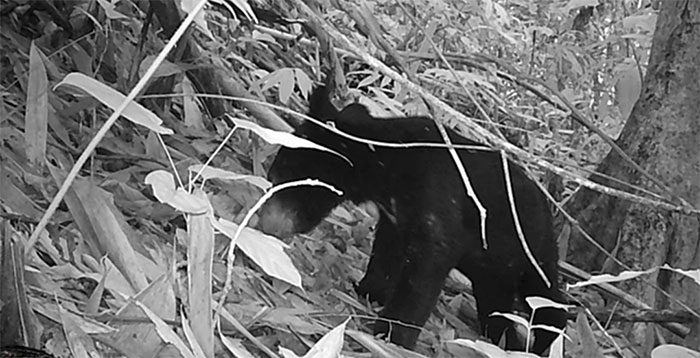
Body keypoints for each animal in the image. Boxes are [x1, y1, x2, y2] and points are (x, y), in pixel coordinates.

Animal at [258, 86, 568, 352]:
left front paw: (391, 333)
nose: (266, 224)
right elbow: (387, 251)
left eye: (285, 174)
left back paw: (541, 345)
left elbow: (428, 264)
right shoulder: (396, 215)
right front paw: (368, 290)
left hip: (534, 251)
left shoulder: (436, 197)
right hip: (496, 268)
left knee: (547, 301)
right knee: (496, 303)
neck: (386, 164)